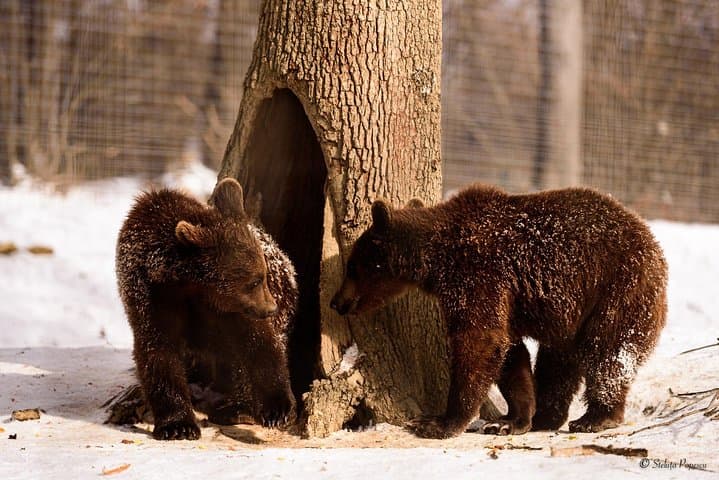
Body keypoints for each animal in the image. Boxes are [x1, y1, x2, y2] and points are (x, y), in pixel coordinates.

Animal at [115, 178, 298, 440]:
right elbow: (158, 351)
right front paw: (178, 425)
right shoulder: (150, 298)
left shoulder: (229, 308)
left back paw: (237, 409)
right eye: (253, 281)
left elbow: (259, 342)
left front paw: (277, 408)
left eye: (262, 276)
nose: (270, 308)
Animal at [331, 184, 667, 439]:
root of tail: (655, 246)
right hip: (572, 314)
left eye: (352, 267)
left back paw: (595, 418)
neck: (436, 260)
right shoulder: (505, 297)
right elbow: (508, 353)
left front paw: (438, 422)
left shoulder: (479, 274)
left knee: (608, 354)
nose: (336, 301)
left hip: (616, 290)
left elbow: (479, 341)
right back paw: (547, 416)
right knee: (558, 362)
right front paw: (511, 419)